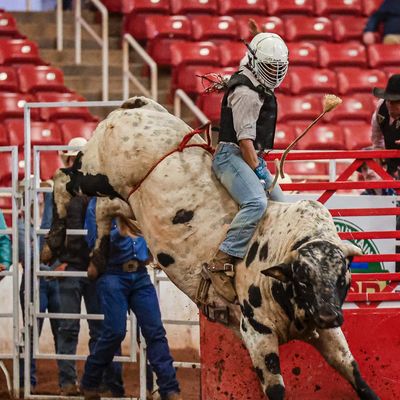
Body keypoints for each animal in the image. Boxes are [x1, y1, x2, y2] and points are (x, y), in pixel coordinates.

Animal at [42, 97, 380, 400]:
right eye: (303, 278)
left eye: (342, 278)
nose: (328, 314)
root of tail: (140, 106)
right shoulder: (257, 332)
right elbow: (276, 389)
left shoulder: (328, 334)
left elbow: (357, 376)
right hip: (96, 173)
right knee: (62, 180)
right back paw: (52, 244)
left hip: (125, 197)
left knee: (103, 209)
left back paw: (96, 261)